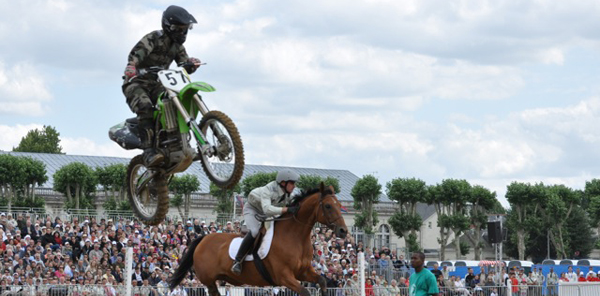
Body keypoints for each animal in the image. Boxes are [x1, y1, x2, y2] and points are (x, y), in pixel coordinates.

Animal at [168, 183, 346, 296]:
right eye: (328, 206)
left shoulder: (303, 272)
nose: (343, 231)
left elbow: (322, 281)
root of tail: (203, 239)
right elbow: (305, 291)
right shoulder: (284, 277)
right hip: (209, 281)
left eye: (339, 205)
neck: (295, 237)